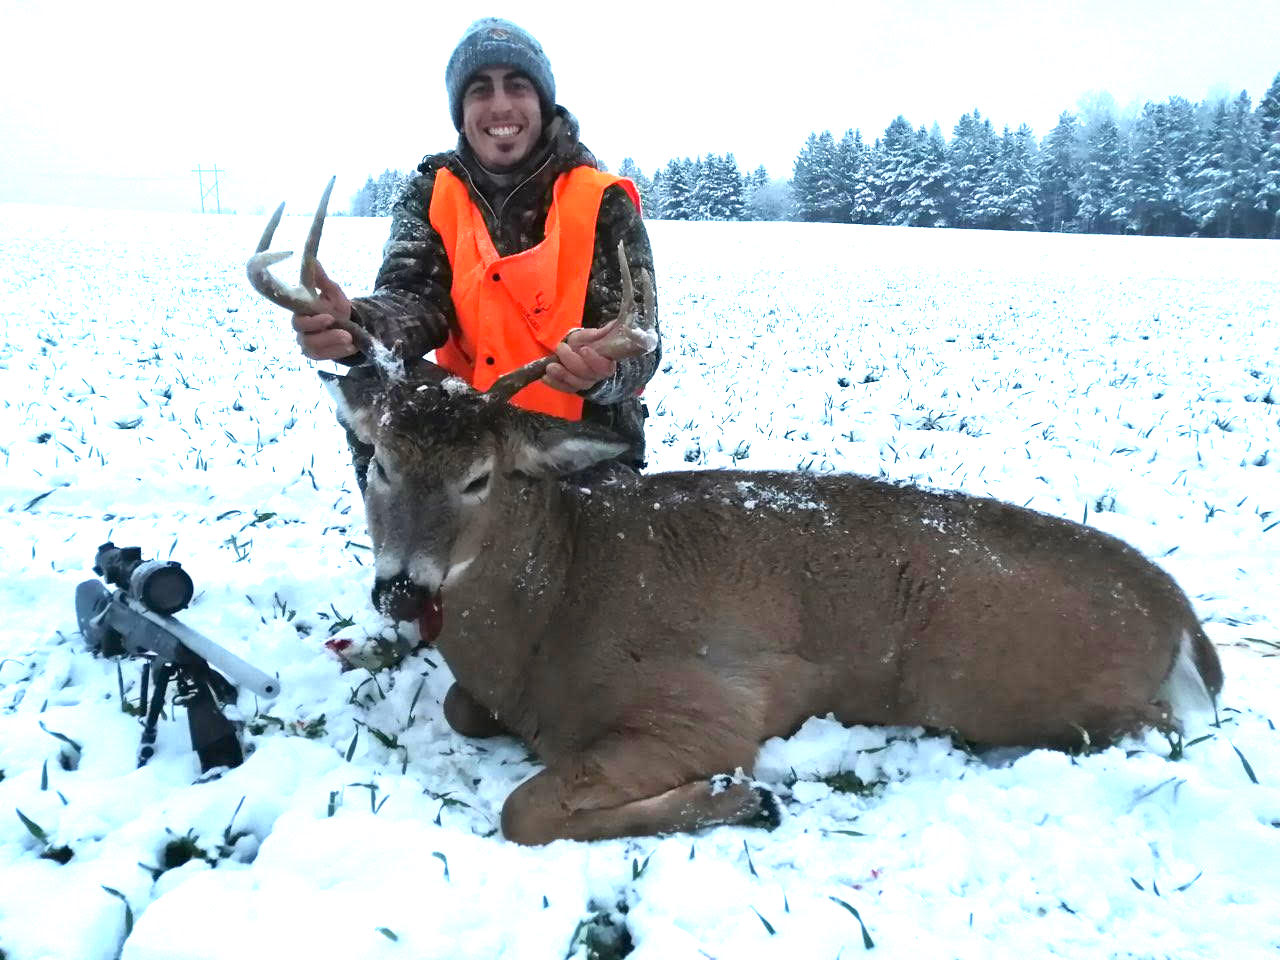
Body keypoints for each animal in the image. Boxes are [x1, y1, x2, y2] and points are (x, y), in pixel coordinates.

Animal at [247, 184, 1218, 844]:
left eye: (481, 477)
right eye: (377, 460)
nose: (401, 591)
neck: (557, 605)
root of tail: (1181, 614)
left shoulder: (708, 705)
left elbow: (527, 808)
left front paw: (744, 797)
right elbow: (460, 710)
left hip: (1047, 694)